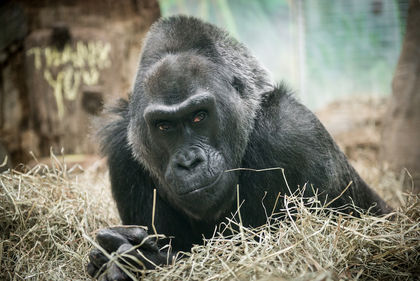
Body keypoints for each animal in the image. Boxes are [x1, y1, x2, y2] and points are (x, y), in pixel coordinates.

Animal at [87, 15, 392, 280]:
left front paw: (150, 259)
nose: (188, 161)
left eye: (199, 116)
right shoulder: (123, 151)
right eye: (164, 126)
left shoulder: (295, 132)